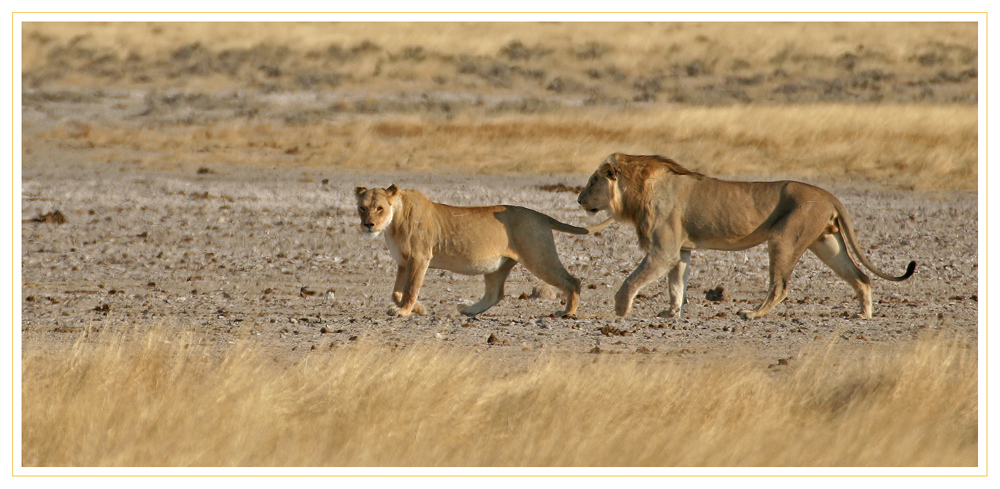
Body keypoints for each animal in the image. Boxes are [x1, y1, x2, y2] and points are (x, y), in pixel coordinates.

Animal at [356, 183, 612, 316]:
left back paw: (568, 312)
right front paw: (417, 308)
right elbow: (397, 292)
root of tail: (540, 215)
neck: (392, 224)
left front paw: (405, 310)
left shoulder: (420, 258)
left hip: (539, 258)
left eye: (379, 208)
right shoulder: (403, 261)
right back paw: (469, 309)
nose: (368, 225)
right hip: (497, 266)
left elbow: (410, 288)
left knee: (573, 281)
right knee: (494, 294)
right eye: (362, 208)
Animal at [580, 153, 916, 320]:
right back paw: (864, 315)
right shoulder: (680, 250)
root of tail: (830, 196)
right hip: (826, 244)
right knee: (861, 277)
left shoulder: (663, 249)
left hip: (784, 238)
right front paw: (671, 313)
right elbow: (676, 285)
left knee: (780, 287)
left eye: (593, 180)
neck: (636, 188)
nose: (579, 199)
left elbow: (633, 279)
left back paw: (752, 314)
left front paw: (620, 308)